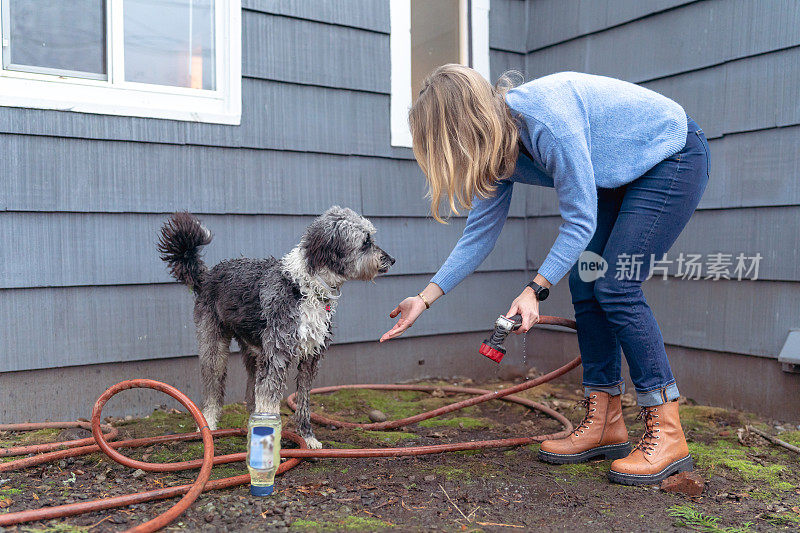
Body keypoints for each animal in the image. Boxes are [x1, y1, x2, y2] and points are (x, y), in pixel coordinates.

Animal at [156, 206, 394, 446]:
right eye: (365, 241)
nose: (392, 259)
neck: (308, 288)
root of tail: (206, 276)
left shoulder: (310, 358)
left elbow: (303, 401)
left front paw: (307, 437)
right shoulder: (277, 355)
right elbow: (269, 398)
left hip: (254, 350)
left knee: (251, 394)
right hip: (214, 346)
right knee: (213, 388)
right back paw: (208, 425)